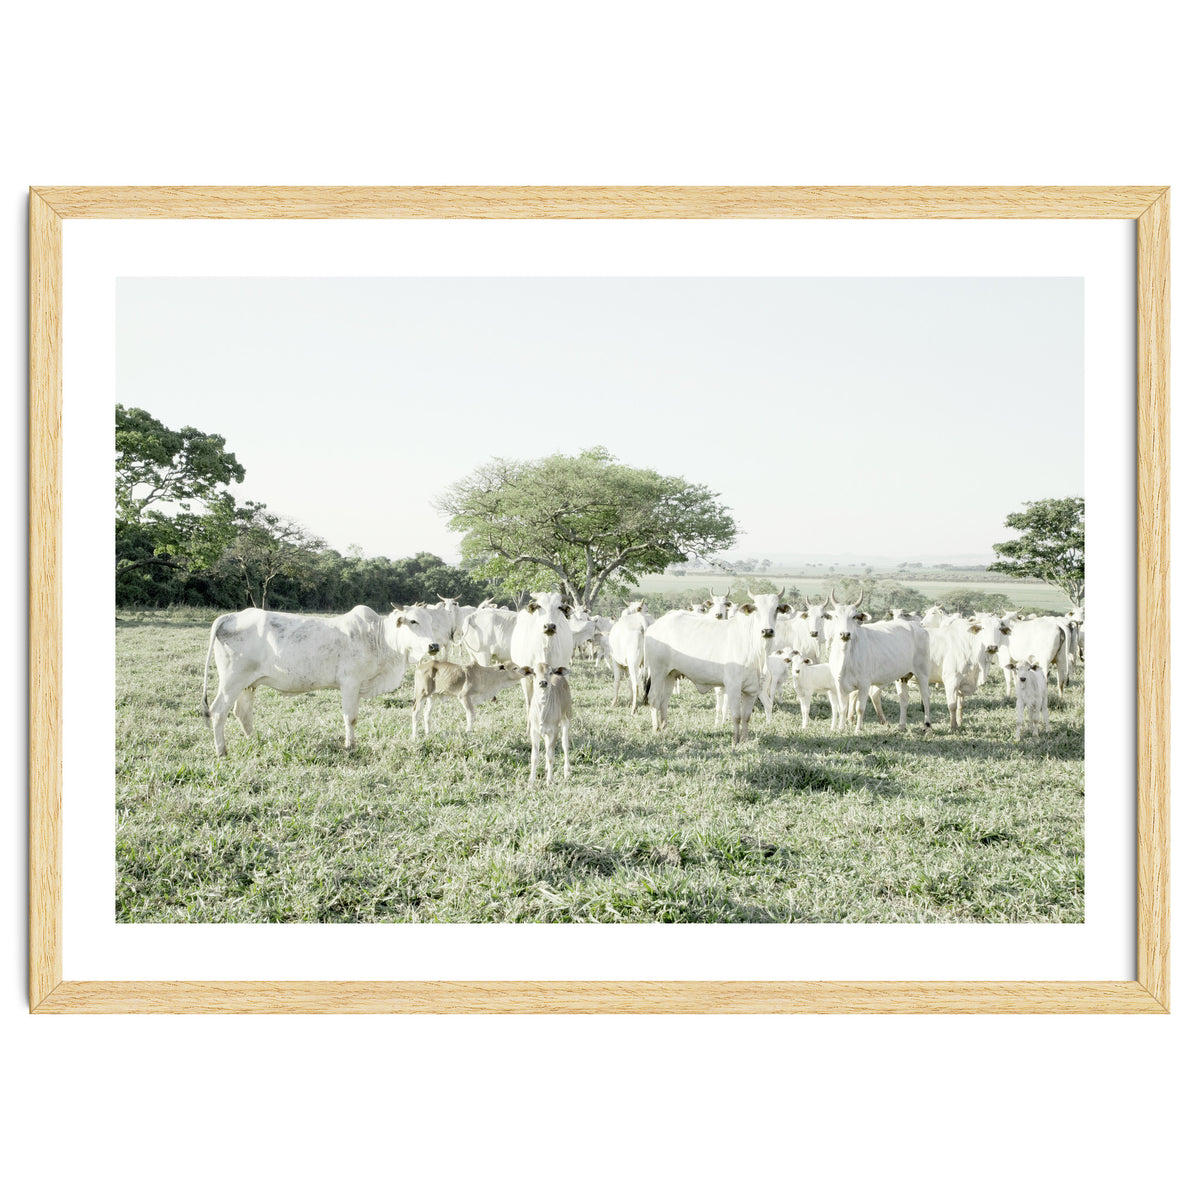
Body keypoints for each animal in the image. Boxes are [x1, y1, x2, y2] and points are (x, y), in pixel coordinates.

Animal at [200, 603, 441, 756]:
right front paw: (350, 746)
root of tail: (230, 616)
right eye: (413, 620)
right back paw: (221, 751)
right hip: (232, 680)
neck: (379, 638)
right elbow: (350, 718)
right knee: (218, 711)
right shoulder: (350, 683)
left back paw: (254, 740)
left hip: (248, 684)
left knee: (242, 713)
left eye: (431, 621)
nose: (434, 645)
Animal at [643, 590, 791, 744]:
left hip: (670, 675)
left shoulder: (752, 690)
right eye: (756, 608)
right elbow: (736, 716)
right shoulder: (733, 686)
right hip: (657, 672)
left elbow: (746, 717)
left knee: (664, 700)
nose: (767, 631)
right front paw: (735, 740)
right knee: (653, 698)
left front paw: (744, 739)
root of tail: (654, 626)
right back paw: (656, 729)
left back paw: (664, 727)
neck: (755, 648)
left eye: (776, 609)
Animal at [826, 590, 932, 732]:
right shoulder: (839, 684)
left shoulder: (864, 684)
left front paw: (858, 729)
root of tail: (918, 626)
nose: (845, 634)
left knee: (925, 697)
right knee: (903, 699)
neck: (846, 656)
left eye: (854, 617)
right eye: (837, 616)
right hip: (902, 676)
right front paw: (841, 729)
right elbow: (843, 708)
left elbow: (860, 708)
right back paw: (901, 725)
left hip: (922, 673)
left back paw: (927, 725)